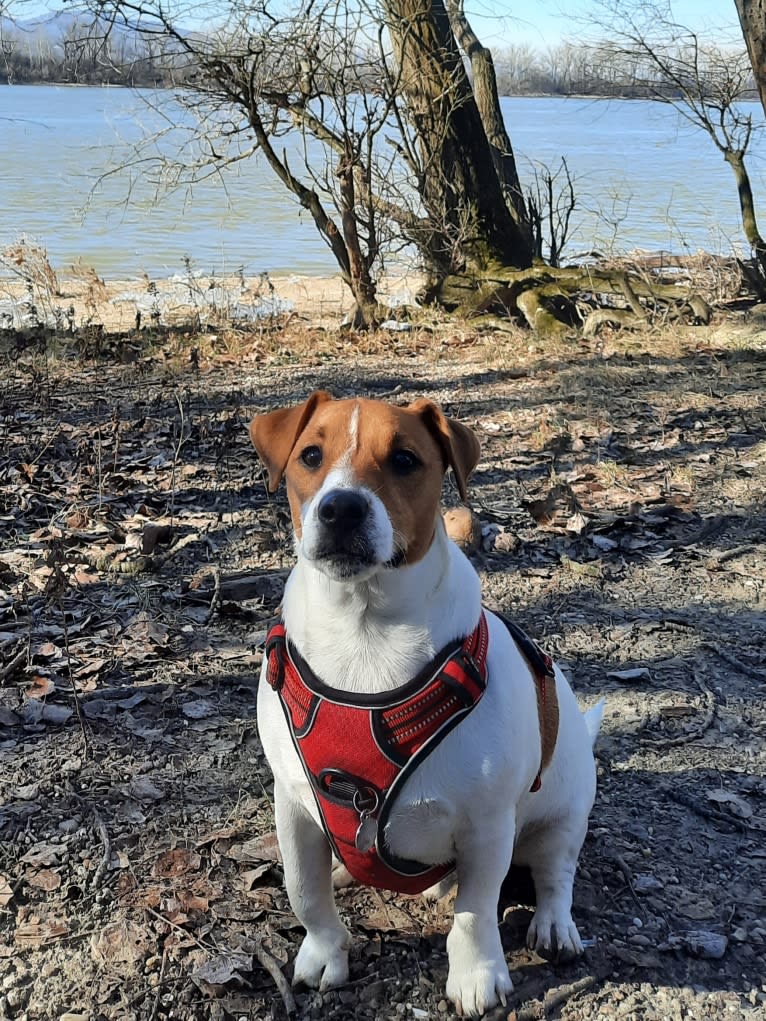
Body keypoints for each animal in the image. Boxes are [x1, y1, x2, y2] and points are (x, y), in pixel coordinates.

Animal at [249, 390, 604, 1012]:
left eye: (405, 460)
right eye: (310, 455)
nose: (341, 508)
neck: (364, 630)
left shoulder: (488, 826)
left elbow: (476, 914)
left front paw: (477, 976)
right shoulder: (292, 805)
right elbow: (305, 891)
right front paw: (324, 952)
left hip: (564, 811)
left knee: (555, 872)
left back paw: (554, 925)